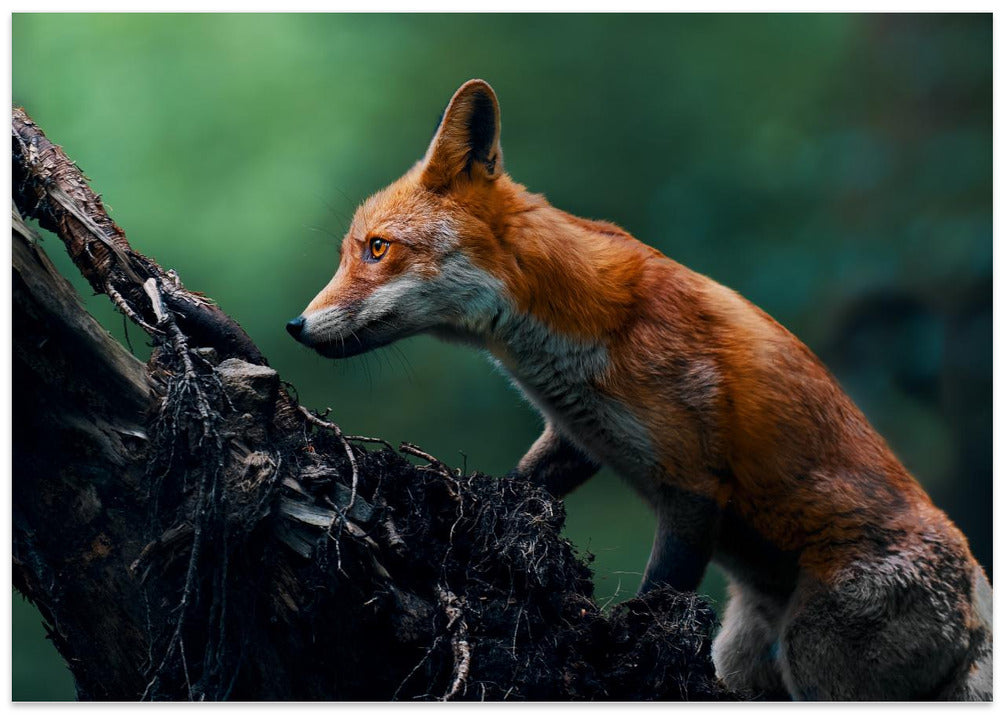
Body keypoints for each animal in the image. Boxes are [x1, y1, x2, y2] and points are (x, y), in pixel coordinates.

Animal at [286, 79, 992, 701]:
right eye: (351, 252)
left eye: (378, 250)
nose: (296, 326)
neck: (577, 329)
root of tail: (977, 592)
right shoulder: (578, 434)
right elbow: (523, 484)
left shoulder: (694, 482)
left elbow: (659, 594)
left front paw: (629, 644)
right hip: (744, 658)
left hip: (815, 657)